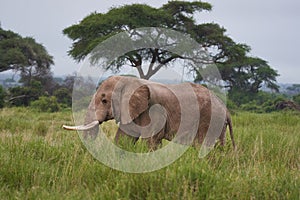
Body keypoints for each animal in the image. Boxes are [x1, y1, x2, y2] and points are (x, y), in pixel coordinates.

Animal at [63, 75, 237, 150]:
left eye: (104, 100)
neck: (129, 81)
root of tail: (226, 109)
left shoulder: (154, 111)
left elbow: (151, 140)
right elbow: (125, 138)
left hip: (210, 120)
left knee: (204, 146)